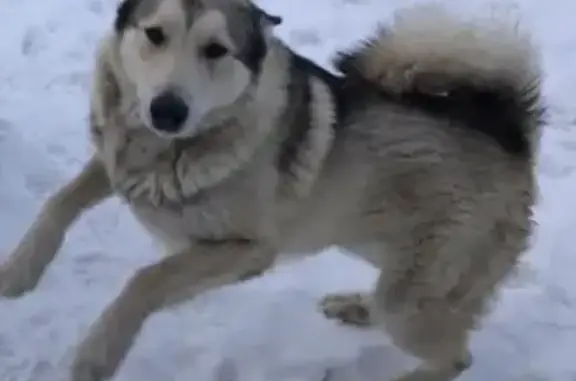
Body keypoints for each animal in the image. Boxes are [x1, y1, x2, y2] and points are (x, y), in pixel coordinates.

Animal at [0, 0, 544, 378]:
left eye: (216, 50)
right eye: (154, 34)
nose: (167, 110)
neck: (174, 149)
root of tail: (514, 136)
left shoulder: (248, 250)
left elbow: (146, 280)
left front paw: (98, 352)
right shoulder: (119, 169)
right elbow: (61, 200)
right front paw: (18, 271)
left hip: (411, 295)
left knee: (455, 357)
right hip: (376, 246)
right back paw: (354, 306)